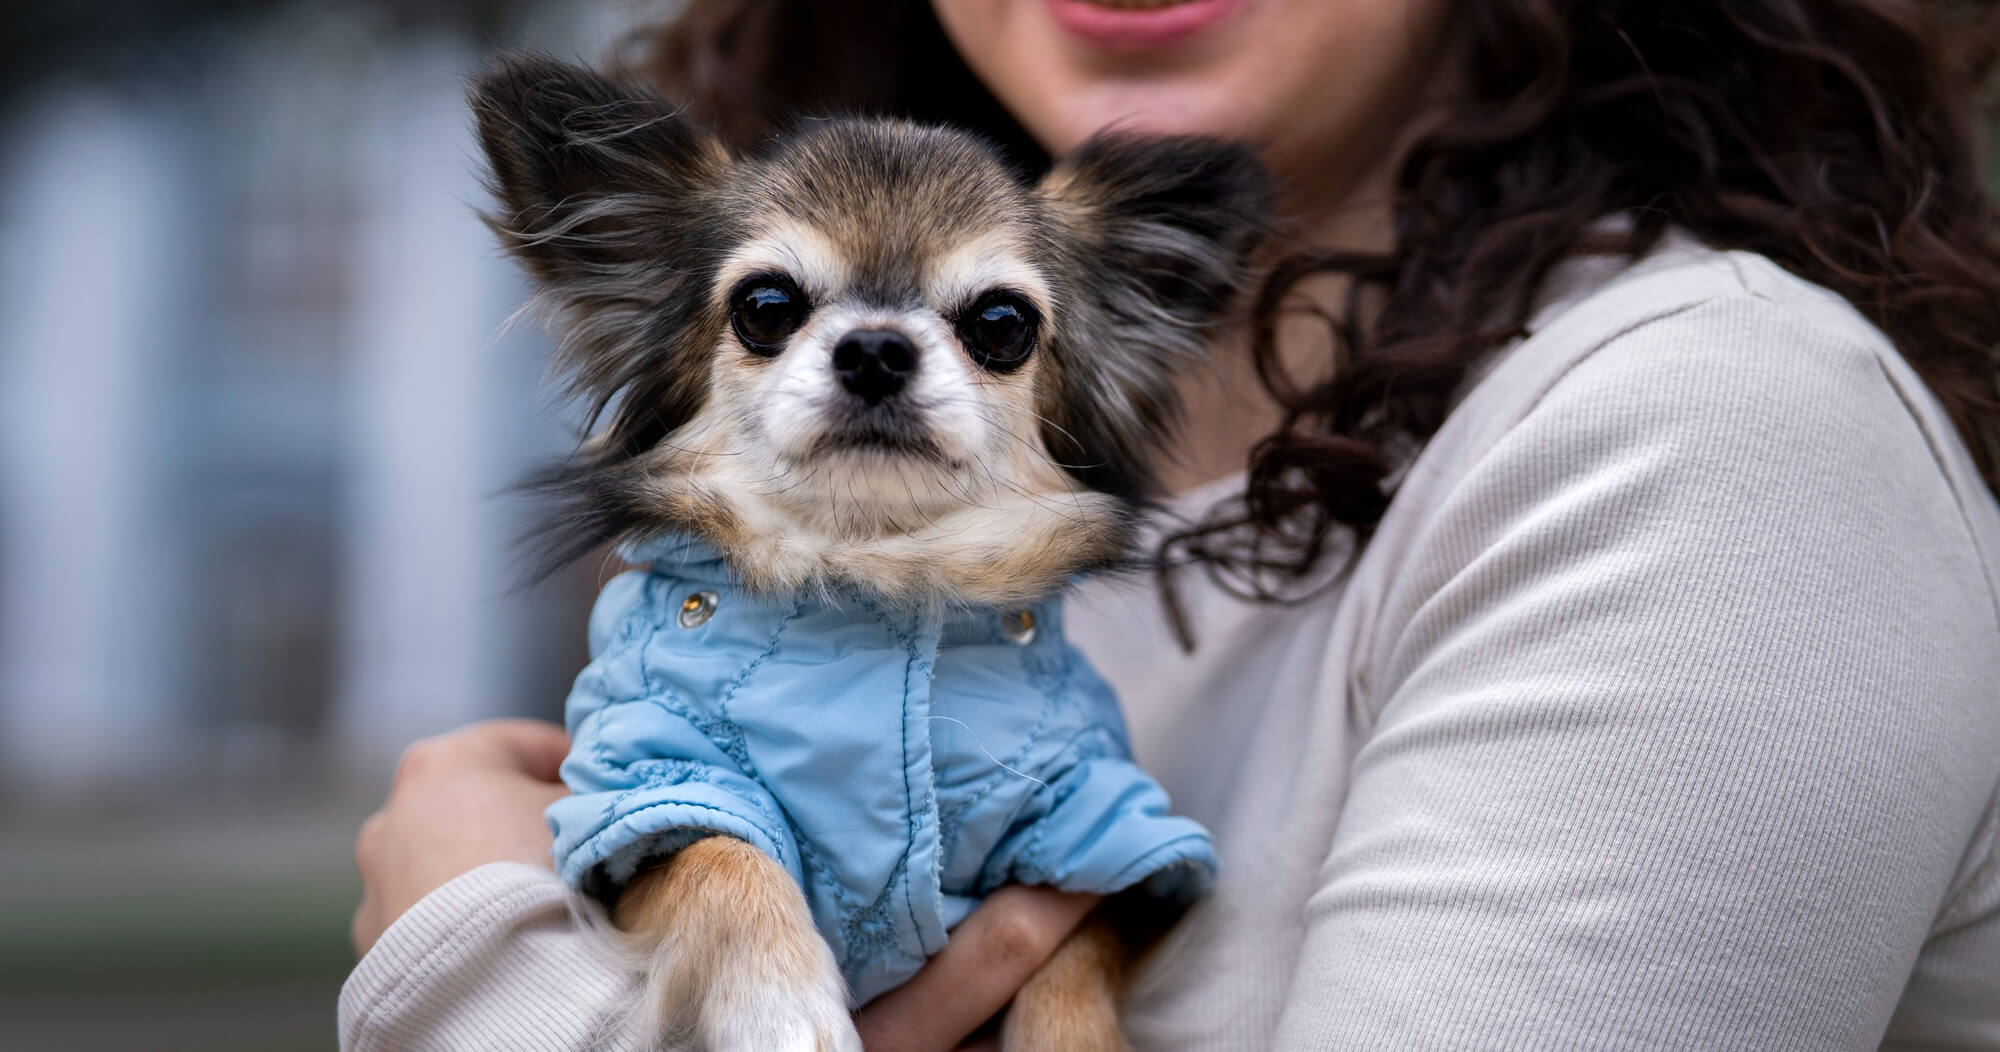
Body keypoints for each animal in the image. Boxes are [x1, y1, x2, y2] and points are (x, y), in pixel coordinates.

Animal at [470, 52, 1271, 1052]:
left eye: (1001, 324)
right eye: (766, 307)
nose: (877, 348)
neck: (870, 570)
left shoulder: (1103, 824)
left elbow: (1075, 945)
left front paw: (1069, 1038)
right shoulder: (645, 792)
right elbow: (722, 855)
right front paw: (782, 1007)